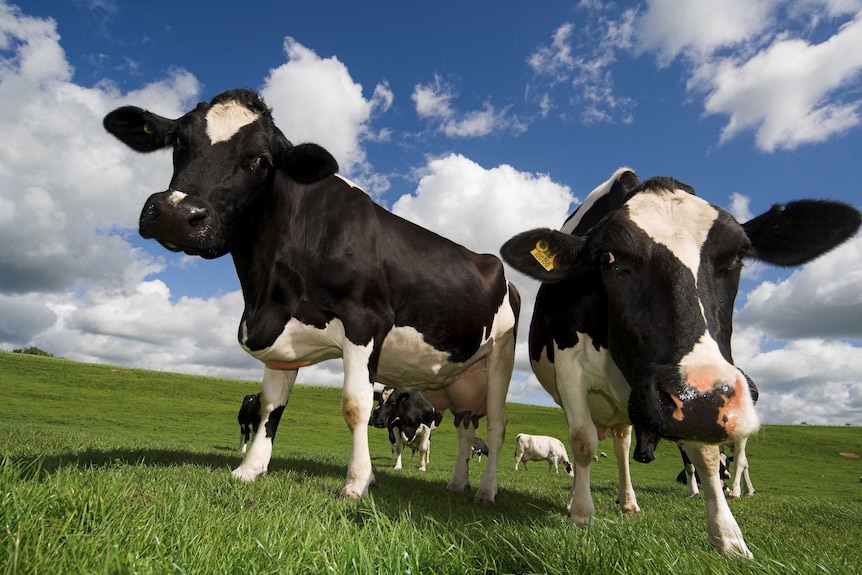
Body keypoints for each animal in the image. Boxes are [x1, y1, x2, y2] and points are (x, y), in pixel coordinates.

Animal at [101, 86, 520, 504]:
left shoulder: (365, 323)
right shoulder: (279, 340)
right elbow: (271, 405)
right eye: (178, 142)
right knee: (466, 430)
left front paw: (357, 482)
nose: (176, 214)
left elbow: (355, 405)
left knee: (496, 426)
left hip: (500, 356)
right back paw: (457, 483)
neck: (266, 296)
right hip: (458, 383)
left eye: (261, 160)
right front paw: (249, 469)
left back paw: (486, 491)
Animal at [502, 168, 860, 560]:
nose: (701, 397)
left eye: (738, 257)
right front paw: (581, 517)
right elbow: (582, 443)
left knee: (622, 444)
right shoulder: (569, 368)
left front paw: (728, 537)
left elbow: (705, 454)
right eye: (607, 257)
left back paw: (629, 501)